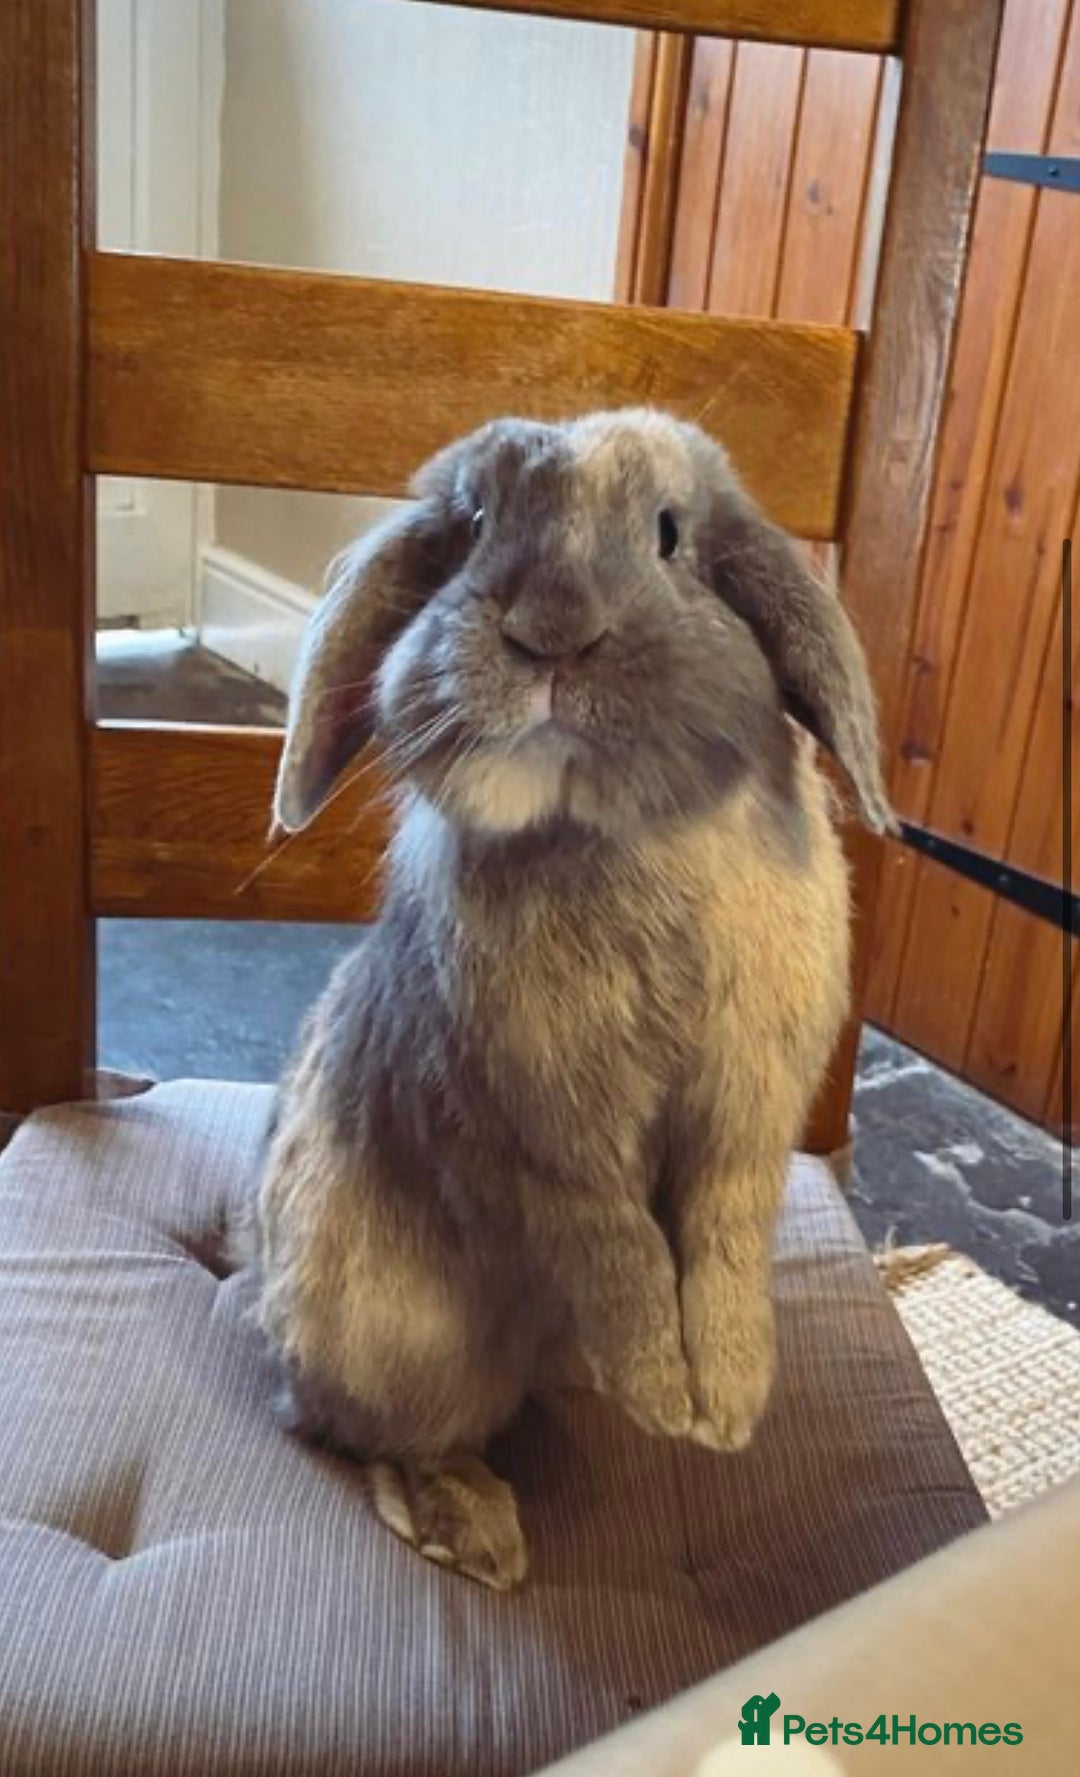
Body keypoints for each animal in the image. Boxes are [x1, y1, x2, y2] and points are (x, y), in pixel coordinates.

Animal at [255, 408, 895, 1591]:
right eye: (471, 526)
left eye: (671, 535)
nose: (550, 633)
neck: (609, 830)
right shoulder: (541, 1137)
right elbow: (619, 1250)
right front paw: (663, 1395)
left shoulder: (745, 1120)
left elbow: (722, 1238)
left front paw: (726, 1402)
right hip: (397, 1337)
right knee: (364, 1432)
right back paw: (471, 1525)